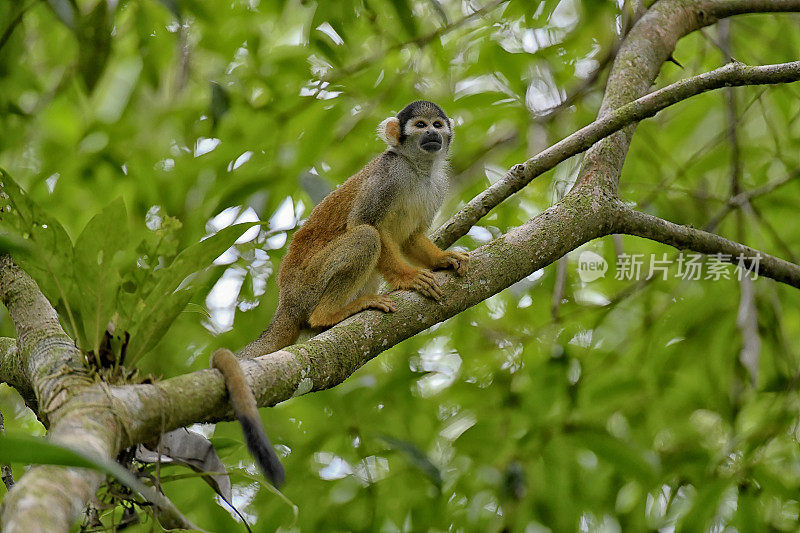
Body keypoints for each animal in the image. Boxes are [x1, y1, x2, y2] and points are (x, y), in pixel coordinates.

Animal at [211, 101, 468, 486]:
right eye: (420, 125)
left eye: (437, 125)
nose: (432, 135)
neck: (417, 169)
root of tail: (286, 302)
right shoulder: (386, 177)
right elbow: (367, 224)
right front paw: (409, 278)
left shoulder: (438, 184)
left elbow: (411, 238)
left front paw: (442, 259)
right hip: (308, 285)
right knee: (365, 237)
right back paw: (328, 315)